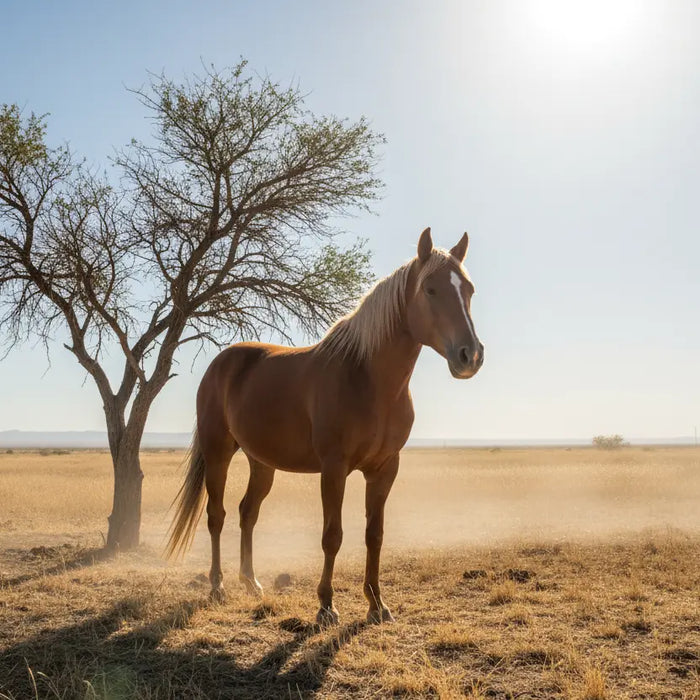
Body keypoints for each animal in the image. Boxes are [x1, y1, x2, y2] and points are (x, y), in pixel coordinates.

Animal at [166, 227, 484, 625]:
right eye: (430, 289)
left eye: (468, 289)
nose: (470, 355)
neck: (368, 379)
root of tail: (221, 362)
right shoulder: (334, 468)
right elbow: (332, 535)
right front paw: (326, 606)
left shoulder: (385, 468)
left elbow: (374, 535)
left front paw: (377, 605)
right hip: (218, 453)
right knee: (216, 516)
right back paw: (217, 586)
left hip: (262, 463)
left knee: (247, 513)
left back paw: (252, 583)